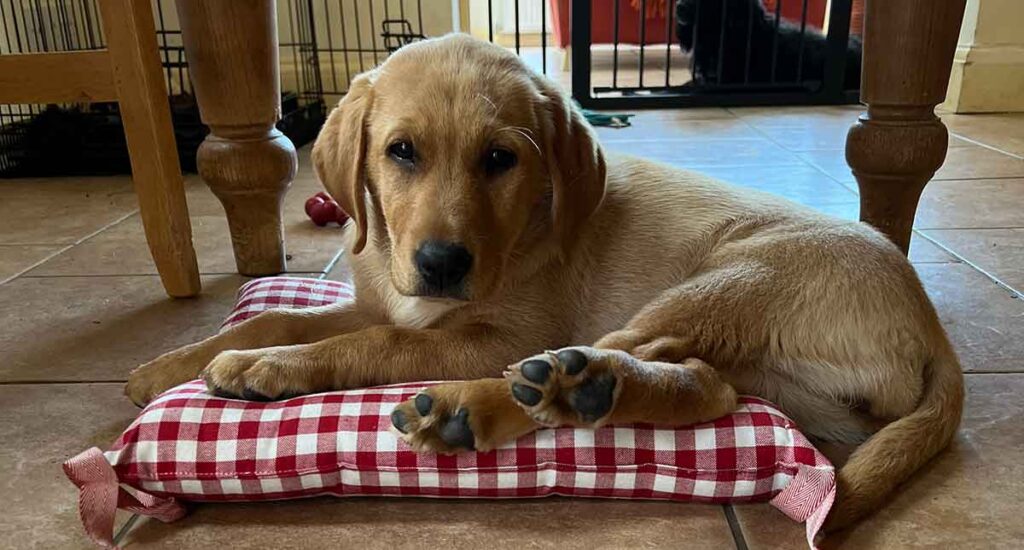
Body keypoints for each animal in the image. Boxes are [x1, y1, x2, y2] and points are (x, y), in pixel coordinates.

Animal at [125, 33, 958, 528]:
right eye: (400, 152)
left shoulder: (494, 334)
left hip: (731, 280)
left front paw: (266, 368)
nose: (441, 264)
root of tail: (931, 324)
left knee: (613, 356)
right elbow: (280, 317)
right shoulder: (381, 297)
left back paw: (490, 404)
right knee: (705, 386)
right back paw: (575, 392)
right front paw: (172, 365)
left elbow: (368, 345)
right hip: (769, 367)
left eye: (501, 159)